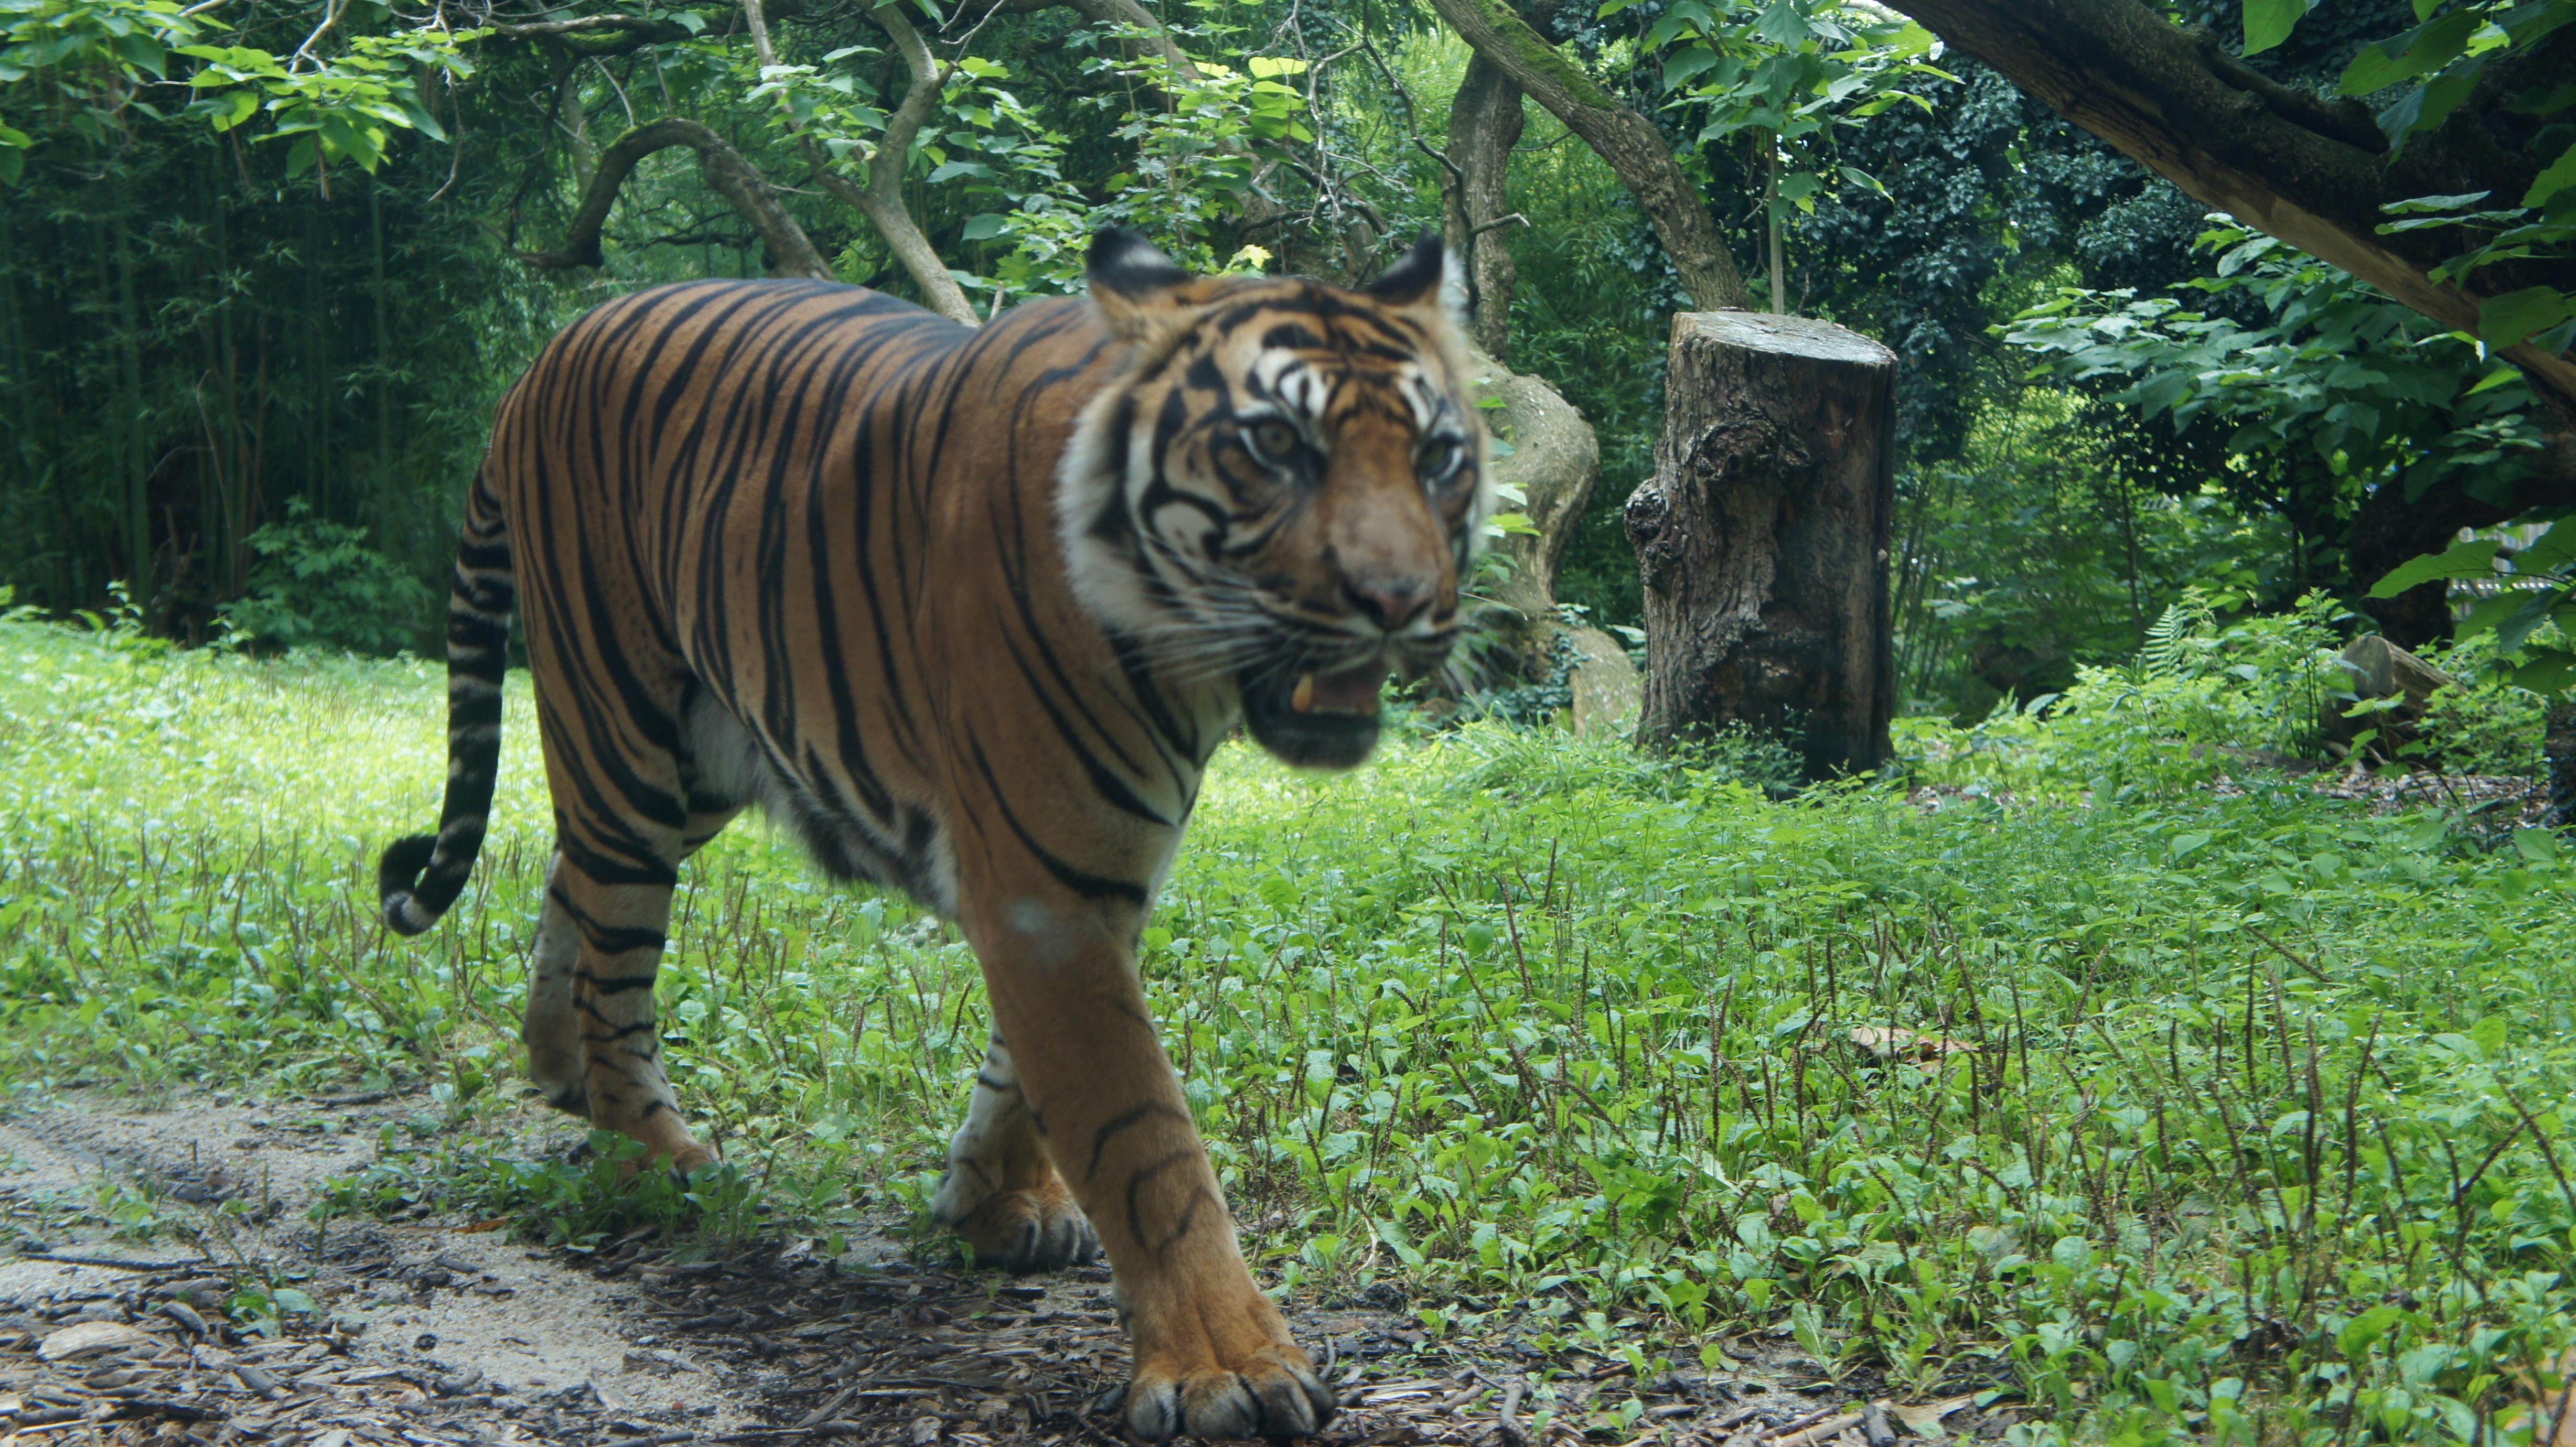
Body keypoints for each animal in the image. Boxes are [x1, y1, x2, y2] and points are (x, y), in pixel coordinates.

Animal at [371, 230, 1484, 1431]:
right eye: (1275, 445)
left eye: (1437, 457)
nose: (1402, 601)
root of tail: (537, 365)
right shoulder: (1045, 888)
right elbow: (1141, 1133)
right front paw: (1224, 1365)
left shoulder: (1091, 872)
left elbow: (1031, 1078)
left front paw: (994, 1203)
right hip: (620, 721)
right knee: (616, 950)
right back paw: (646, 1152)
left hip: (700, 758)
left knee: (569, 874)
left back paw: (555, 1065)